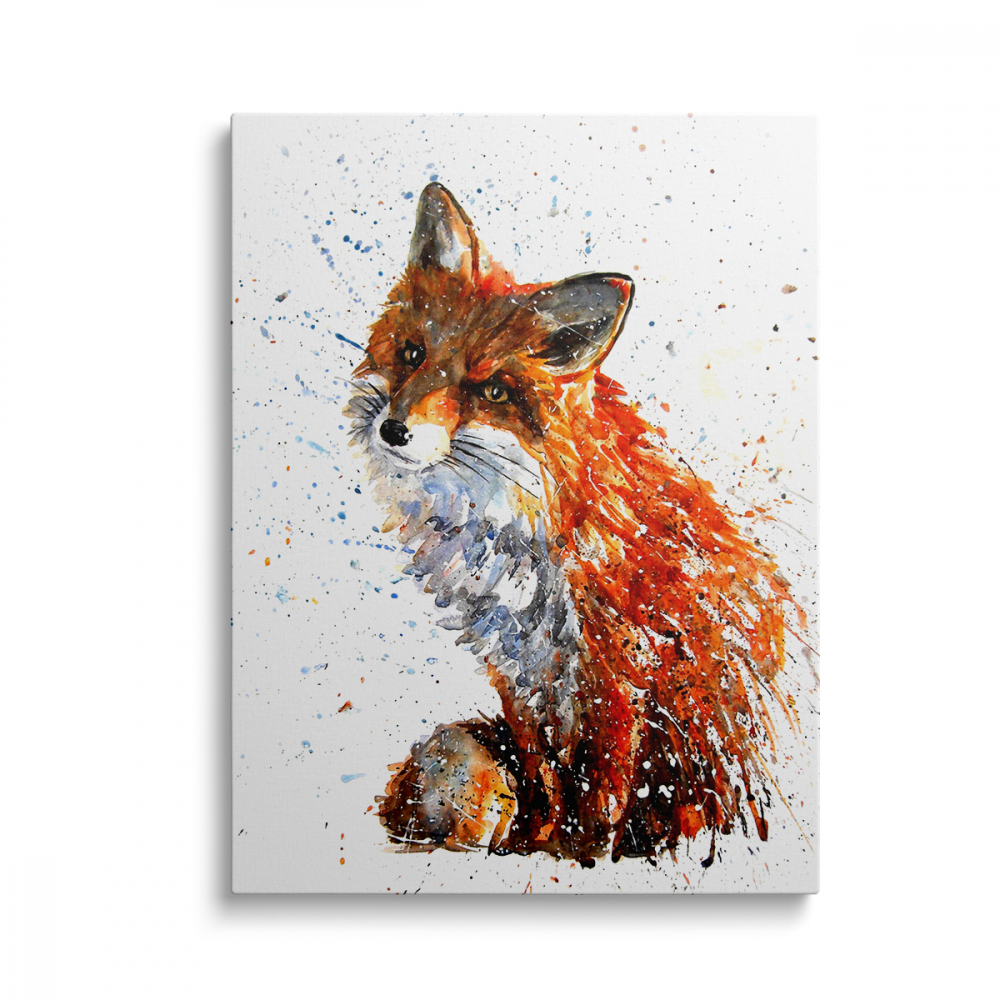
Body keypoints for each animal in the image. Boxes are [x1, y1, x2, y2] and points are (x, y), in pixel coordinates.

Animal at [347, 183, 802, 867]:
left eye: (492, 391)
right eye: (413, 354)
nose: (394, 430)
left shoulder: (618, 673)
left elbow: (599, 792)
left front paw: (584, 855)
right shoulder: (519, 670)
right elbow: (546, 776)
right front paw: (536, 842)